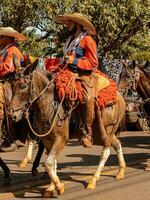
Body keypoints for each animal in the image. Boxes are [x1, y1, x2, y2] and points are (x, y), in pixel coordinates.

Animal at [9, 60, 126, 198]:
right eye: (11, 85)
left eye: (23, 86)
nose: (12, 114)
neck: (50, 104)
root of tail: (119, 96)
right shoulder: (48, 140)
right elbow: (52, 163)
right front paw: (50, 188)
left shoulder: (61, 139)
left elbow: (48, 163)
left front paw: (59, 187)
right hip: (106, 132)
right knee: (117, 144)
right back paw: (121, 171)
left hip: (108, 130)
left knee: (105, 153)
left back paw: (93, 180)